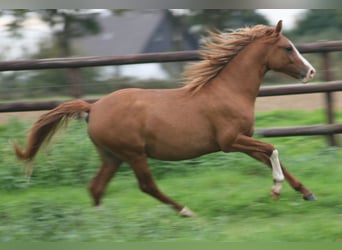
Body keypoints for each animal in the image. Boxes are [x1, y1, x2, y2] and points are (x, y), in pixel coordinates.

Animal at [15, 20, 316, 217]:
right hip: (133, 153)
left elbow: (270, 157)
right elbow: (273, 149)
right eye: (288, 48)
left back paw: (103, 223)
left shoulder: (243, 141)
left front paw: (306, 193)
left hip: (112, 156)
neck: (229, 91)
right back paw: (186, 211)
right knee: (146, 186)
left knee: (96, 187)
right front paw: (276, 190)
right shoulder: (230, 141)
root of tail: (94, 107)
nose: (311, 72)